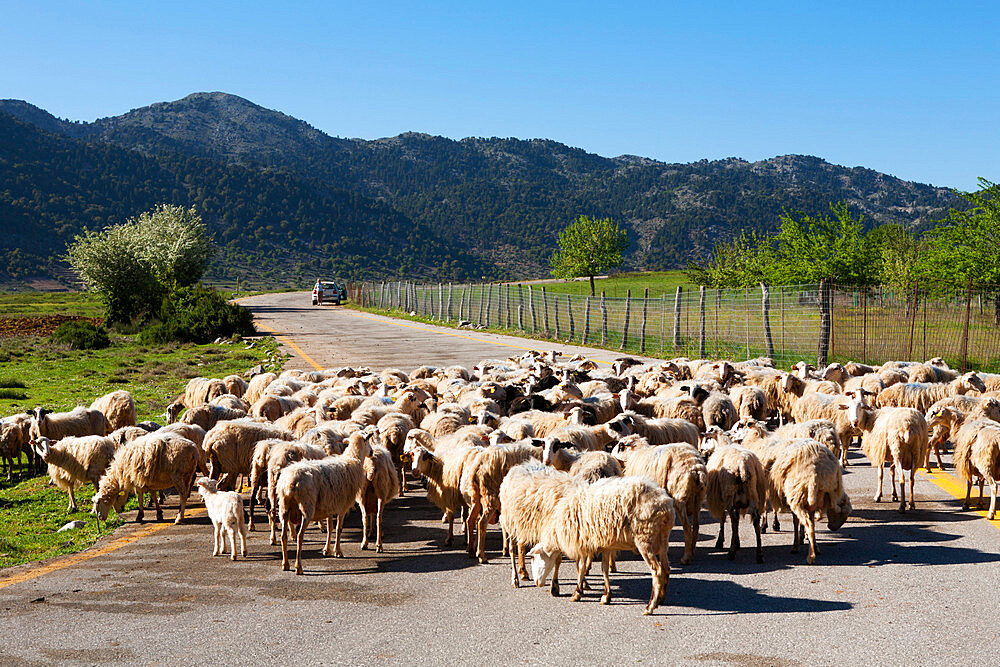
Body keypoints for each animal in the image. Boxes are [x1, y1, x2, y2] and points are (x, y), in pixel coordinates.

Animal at [278, 430, 372, 576]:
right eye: (368, 441)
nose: (372, 452)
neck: (353, 459)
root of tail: (291, 482)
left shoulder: (329, 506)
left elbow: (330, 528)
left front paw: (327, 550)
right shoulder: (343, 506)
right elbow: (339, 529)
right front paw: (338, 551)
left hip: (284, 508)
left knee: (283, 536)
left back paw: (285, 564)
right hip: (306, 508)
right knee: (299, 537)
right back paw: (298, 567)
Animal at [528, 480, 676, 616]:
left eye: (534, 558)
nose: (537, 583)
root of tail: (665, 504)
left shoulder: (583, 543)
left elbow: (581, 567)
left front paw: (577, 593)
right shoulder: (605, 544)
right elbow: (604, 569)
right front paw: (606, 596)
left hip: (644, 539)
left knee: (656, 570)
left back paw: (650, 607)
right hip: (663, 539)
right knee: (666, 568)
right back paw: (660, 599)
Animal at [612, 440, 708, 568]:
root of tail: (696, 468)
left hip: (680, 497)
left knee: (687, 527)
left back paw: (686, 557)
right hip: (698, 498)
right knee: (696, 525)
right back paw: (692, 552)